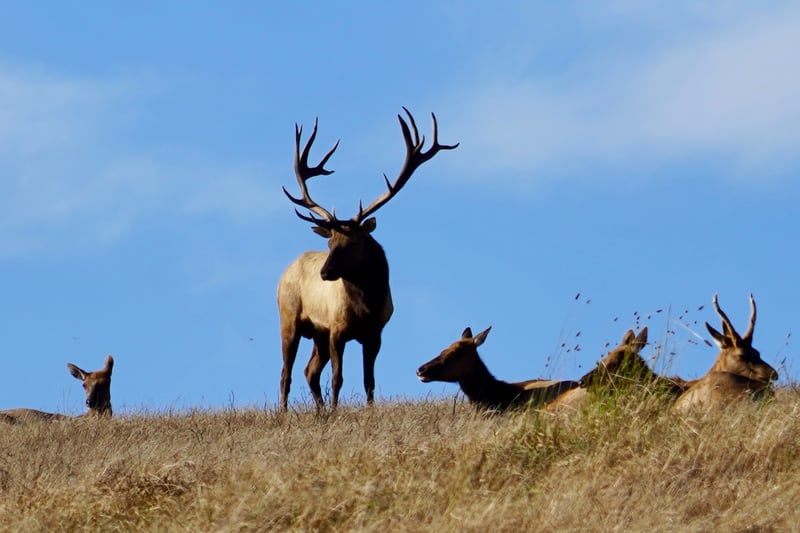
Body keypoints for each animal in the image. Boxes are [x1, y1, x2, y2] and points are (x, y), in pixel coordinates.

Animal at [278, 108, 458, 411]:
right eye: (330, 242)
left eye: (352, 243)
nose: (324, 273)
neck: (367, 305)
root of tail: (283, 274)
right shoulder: (337, 329)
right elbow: (338, 378)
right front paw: (336, 412)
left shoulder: (375, 333)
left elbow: (369, 380)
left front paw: (366, 410)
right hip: (289, 318)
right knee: (286, 373)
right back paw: (285, 413)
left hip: (318, 333)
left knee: (309, 371)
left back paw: (319, 411)